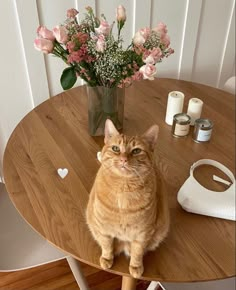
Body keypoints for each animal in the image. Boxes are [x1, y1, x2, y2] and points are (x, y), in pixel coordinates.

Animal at [85, 118, 169, 278]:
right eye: (116, 148)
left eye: (136, 150)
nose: (123, 159)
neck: (123, 189)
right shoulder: (104, 229)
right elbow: (107, 246)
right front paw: (107, 258)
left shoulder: (142, 234)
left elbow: (137, 252)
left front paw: (136, 267)